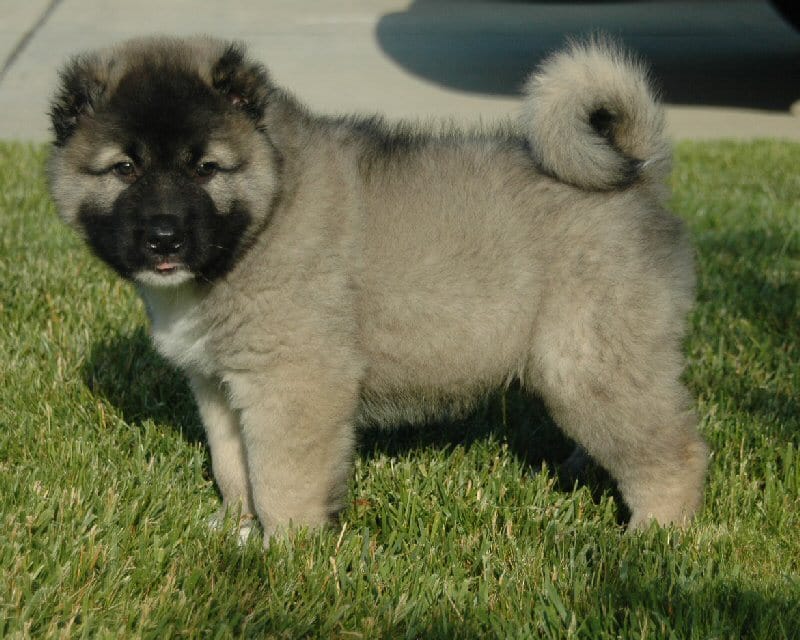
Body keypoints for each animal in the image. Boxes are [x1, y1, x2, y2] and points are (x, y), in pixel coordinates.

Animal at [48, 36, 708, 544]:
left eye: (205, 168)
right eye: (124, 169)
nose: (165, 238)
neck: (267, 213)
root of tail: (640, 178)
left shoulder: (294, 382)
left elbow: (281, 476)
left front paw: (283, 551)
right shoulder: (217, 384)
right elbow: (234, 465)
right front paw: (236, 529)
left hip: (589, 359)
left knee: (673, 451)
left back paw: (652, 536)